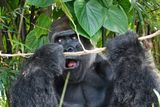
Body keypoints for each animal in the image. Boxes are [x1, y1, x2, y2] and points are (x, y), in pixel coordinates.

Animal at [10, 16, 160, 107]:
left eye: (74, 37)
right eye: (60, 40)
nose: (68, 48)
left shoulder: (109, 69)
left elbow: (149, 99)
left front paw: (127, 48)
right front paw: (44, 58)